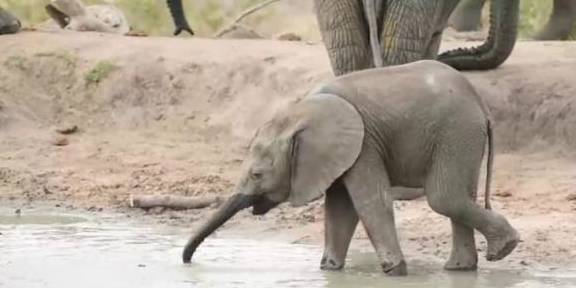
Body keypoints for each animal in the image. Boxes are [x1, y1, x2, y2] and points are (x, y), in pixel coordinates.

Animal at [182, 59, 520, 276]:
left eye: (257, 175)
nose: (186, 262)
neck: (299, 113)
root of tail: (480, 102)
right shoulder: (337, 154)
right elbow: (339, 209)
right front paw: (329, 269)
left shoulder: (364, 143)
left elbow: (369, 202)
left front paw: (395, 271)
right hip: (460, 135)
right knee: (459, 196)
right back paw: (462, 268)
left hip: (456, 131)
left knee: (444, 197)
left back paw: (503, 249)